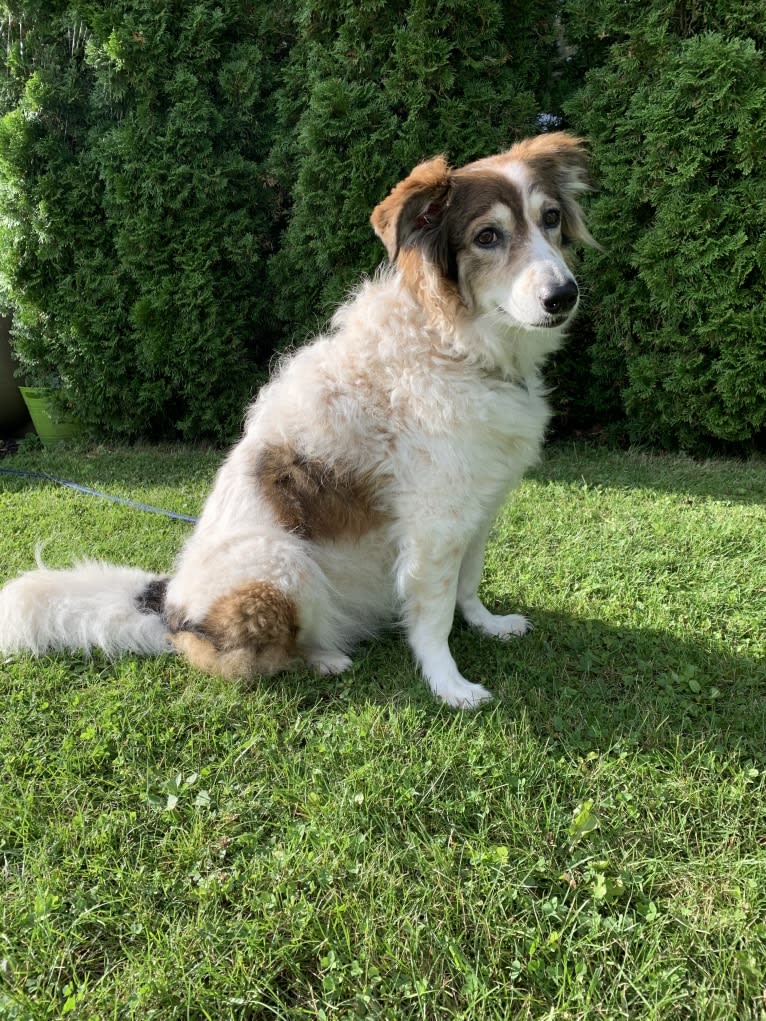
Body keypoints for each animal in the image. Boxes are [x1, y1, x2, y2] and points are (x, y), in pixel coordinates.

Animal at [0, 133, 592, 710]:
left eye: (550, 218)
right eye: (487, 236)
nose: (563, 295)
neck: (457, 346)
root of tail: (170, 608)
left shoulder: (477, 508)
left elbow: (467, 586)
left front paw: (488, 625)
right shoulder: (433, 524)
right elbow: (434, 617)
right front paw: (449, 684)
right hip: (281, 564)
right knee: (256, 655)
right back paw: (324, 657)